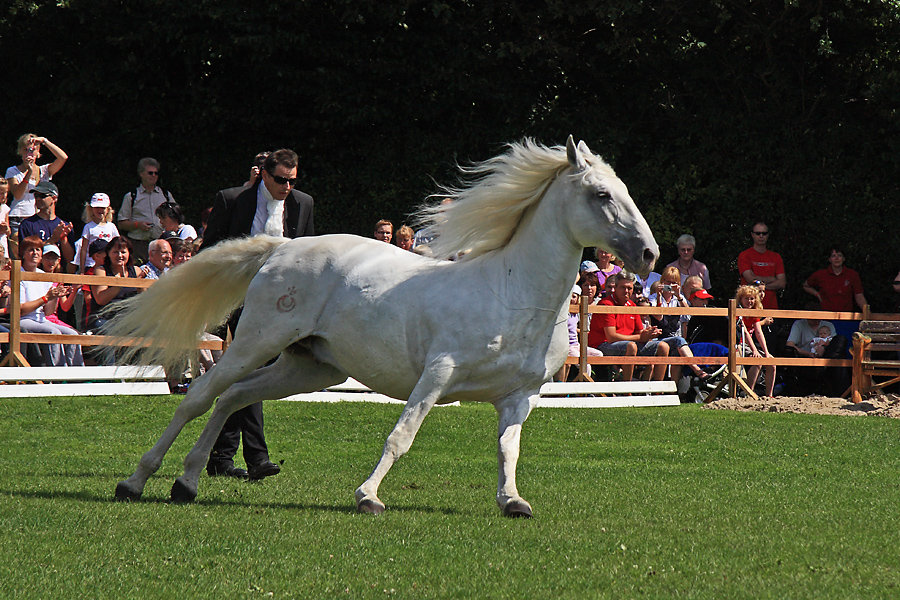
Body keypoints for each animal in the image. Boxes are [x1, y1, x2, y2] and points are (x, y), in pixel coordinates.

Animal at [109, 136, 656, 516]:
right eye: (601, 194)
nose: (648, 255)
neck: (515, 294)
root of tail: (282, 247)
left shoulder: (520, 396)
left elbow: (509, 450)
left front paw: (512, 503)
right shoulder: (437, 375)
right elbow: (402, 436)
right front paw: (368, 497)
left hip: (310, 367)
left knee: (234, 398)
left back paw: (187, 483)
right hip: (255, 342)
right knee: (202, 397)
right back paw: (135, 481)